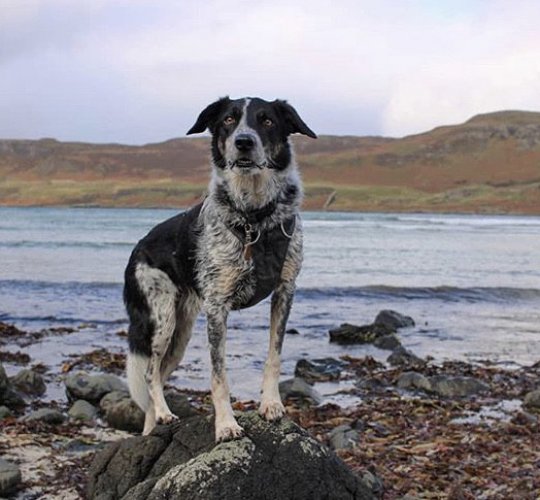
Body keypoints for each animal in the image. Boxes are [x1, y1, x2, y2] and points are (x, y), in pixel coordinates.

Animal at [123, 95, 316, 440]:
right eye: (228, 120)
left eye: (267, 120)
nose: (243, 142)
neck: (254, 217)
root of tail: (137, 250)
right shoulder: (217, 306)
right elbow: (219, 376)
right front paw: (226, 424)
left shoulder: (285, 290)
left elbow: (274, 355)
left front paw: (271, 405)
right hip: (161, 320)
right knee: (149, 372)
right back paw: (164, 412)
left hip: (181, 333)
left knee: (158, 376)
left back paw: (152, 426)